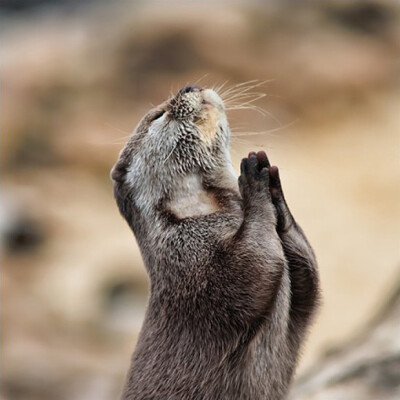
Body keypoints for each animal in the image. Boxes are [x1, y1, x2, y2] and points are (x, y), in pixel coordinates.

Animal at [110, 85, 318, 400]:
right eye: (158, 115)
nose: (189, 87)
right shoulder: (190, 261)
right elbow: (252, 269)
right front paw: (254, 183)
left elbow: (309, 280)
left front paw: (274, 190)